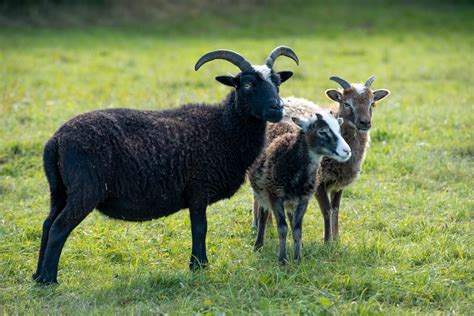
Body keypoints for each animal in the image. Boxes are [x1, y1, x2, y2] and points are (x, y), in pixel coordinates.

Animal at [34, 45, 300, 284]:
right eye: (246, 85)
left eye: (277, 82)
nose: (277, 108)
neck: (223, 128)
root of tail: (56, 140)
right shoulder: (198, 188)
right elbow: (200, 228)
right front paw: (199, 265)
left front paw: (198, 264)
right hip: (85, 189)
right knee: (59, 227)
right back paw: (49, 279)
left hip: (59, 190)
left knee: (47, 224)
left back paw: (37, 275)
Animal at [250, 110, 350, 262]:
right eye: (322, 132)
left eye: (339, 130)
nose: (347, 151)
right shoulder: (275, 195)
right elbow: (282, 228)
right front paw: (283, 259)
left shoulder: (304, 199)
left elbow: (297, 229)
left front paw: (297, 259)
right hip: (262, 190)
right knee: (263, 214)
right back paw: (259, 245)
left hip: (291, 200)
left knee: (291, 218)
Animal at [278, 76, 388, 242]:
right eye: (347, 103)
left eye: (372, 103)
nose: (365, 123)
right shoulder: (320, 181)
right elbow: (327, 209)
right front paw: (327, 240)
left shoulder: (339, 183)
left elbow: (336, 208)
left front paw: (336, 238)